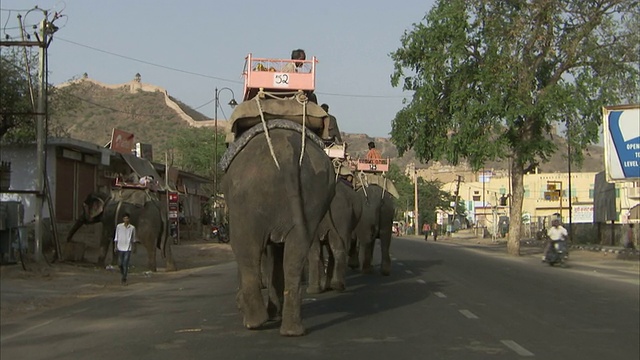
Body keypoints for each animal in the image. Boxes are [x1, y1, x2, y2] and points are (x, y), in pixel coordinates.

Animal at [221, 119, 336, 336]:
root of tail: (287, 153)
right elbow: (276, 256)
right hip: (313, 195)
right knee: (294, 256)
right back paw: (292, 330)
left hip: (246, 200)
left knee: (246, 250)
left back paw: (254, 322)